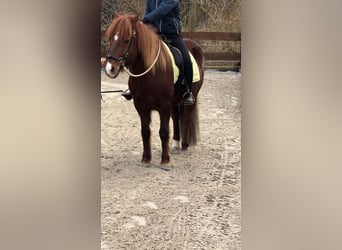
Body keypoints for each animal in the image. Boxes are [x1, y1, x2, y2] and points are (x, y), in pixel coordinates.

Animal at [104, 14, 203, 166]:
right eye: (110, 39)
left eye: (126, 40)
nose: (110, 68)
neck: (150, 73)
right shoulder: (140, 106)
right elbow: (145, 131)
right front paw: (146, 158)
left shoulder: (164, 105)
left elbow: (163, 132)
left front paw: (165, 159)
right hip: (174, 101)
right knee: (176, 118)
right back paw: (175, 144)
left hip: (192, 97)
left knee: (185, 118)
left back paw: (184, 145)